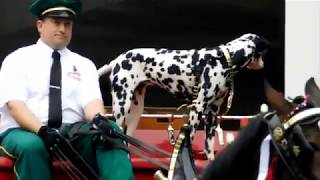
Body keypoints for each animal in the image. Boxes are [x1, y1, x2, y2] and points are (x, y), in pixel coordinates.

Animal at [99, 33, 268, 160]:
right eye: (261, 55)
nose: (263, 65)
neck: (224, 59)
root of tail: (117, 60)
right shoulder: (197, 109)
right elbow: (189, 142)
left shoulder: (212, 114)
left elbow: (209, 147)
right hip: (122, 106)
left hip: (135, 112)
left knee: (126, 140)